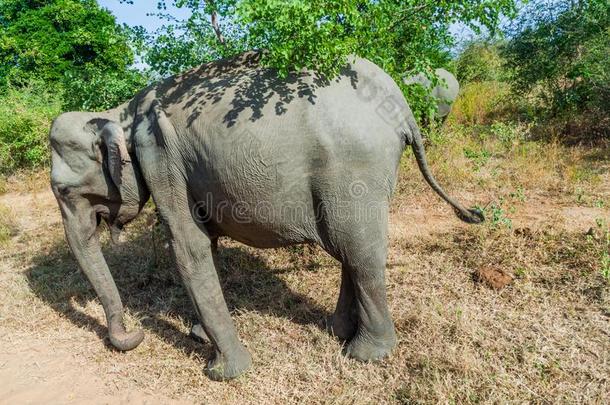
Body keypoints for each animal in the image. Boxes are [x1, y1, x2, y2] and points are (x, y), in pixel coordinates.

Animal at [50, 50, 482, 378]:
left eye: (64, 190)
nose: (133, 337)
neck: (120, 113)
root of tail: (398, 102)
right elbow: (206, 243)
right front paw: (198, 336)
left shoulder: (161, 157)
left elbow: (187, 247)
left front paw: (224, 372)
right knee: (349, 247)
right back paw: (337, 331)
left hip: (355, 165)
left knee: (359, 252)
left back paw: (364, 354)